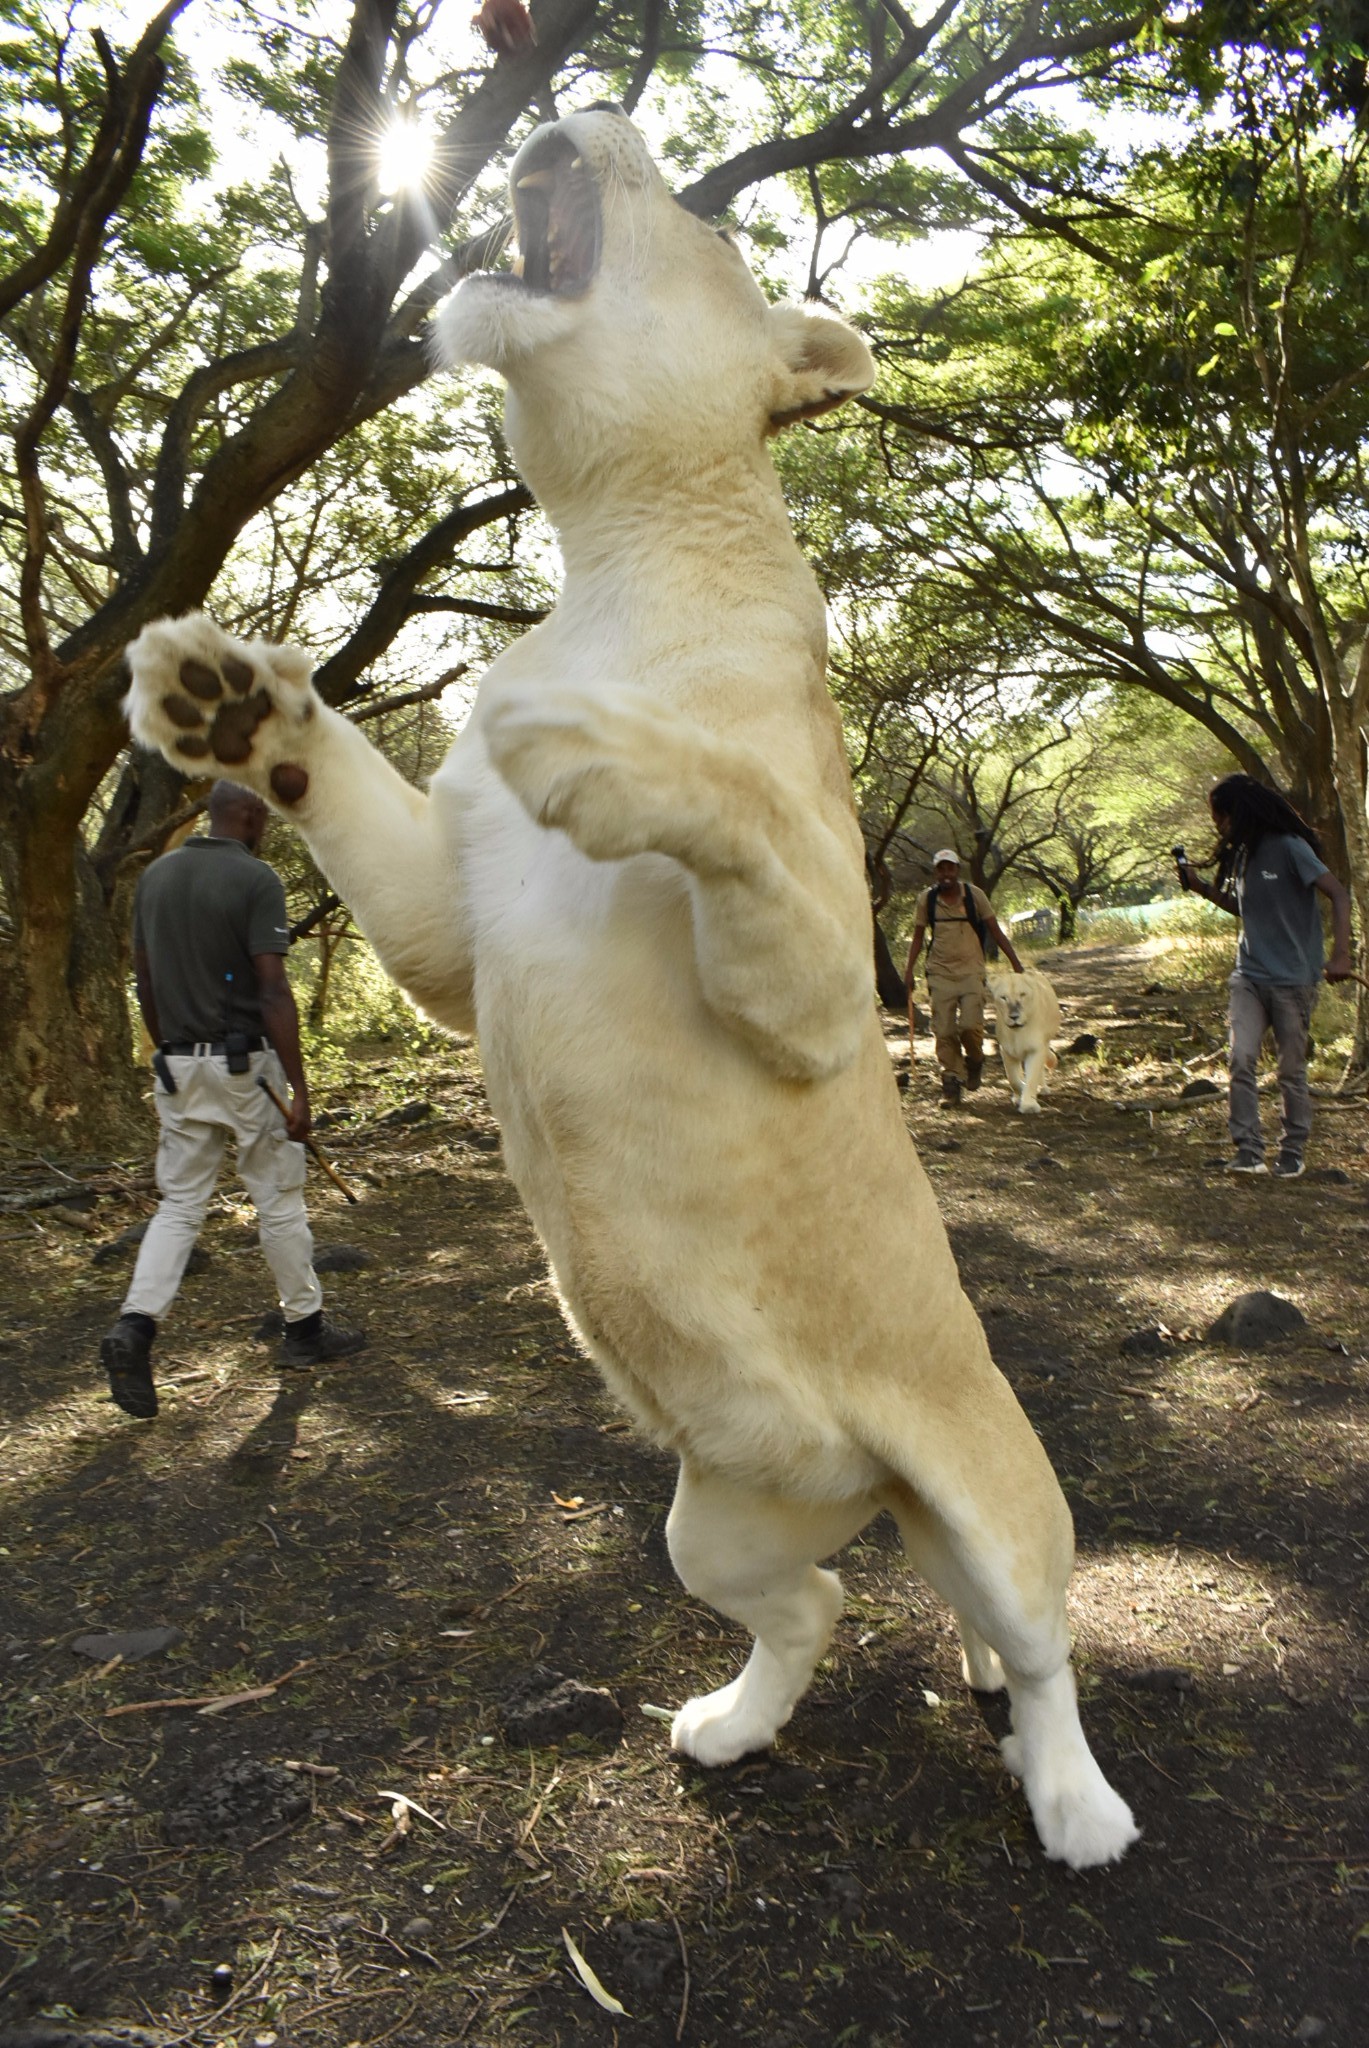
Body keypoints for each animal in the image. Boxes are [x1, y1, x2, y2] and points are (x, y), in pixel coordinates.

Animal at [125, 112, 1131, 1875]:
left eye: (695, 218)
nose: (570, 103)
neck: (615, 558)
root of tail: (879, 1486)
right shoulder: (446, 940)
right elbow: (351, 797)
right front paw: (226, 700)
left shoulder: (817, 978)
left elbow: (720, 801)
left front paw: (594, 749)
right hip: (709, 1523)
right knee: (812, 1607)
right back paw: (729, 1725)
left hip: (997, 1500)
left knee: (1037, 1641)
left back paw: (1076, 1807)